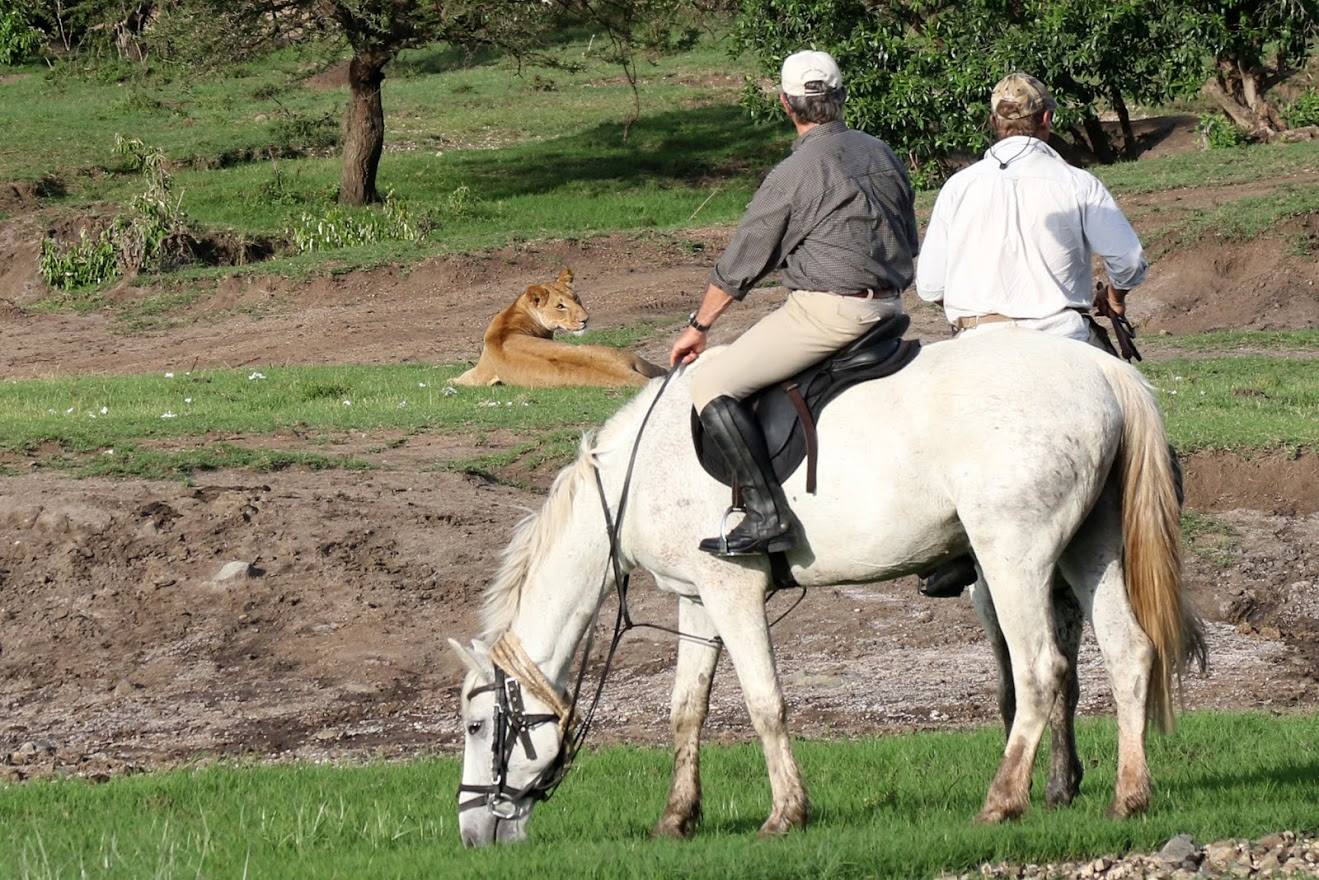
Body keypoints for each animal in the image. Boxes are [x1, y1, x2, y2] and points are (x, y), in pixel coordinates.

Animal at [448, 328, 1204, 848]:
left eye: (478, 726)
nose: (472, 832)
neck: (638, 472)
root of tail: (1101, 369)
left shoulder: (731, 592)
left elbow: (763, 704)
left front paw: (786, 813)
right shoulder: (696, 601)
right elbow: (686, 711)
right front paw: (677, 817)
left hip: (1011, 557)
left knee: (1041, 672)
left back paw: (1003, 800)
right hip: (1088, 549)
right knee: (1128, 654)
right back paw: (1129, 797)